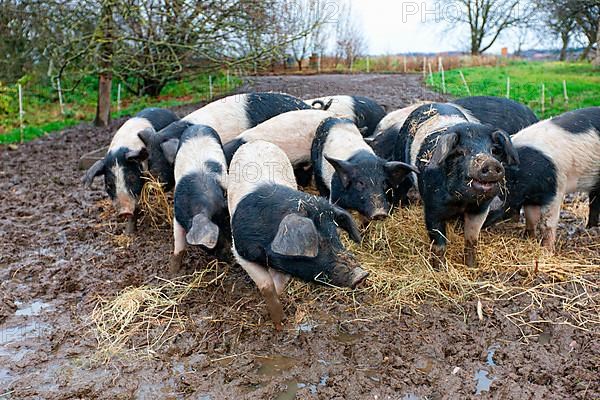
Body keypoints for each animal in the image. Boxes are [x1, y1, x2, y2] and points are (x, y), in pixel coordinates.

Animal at [161, 125, 231, 276]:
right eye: (218, 233)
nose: (230, 256)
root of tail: (198, 126)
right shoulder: (177, 215)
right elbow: (179, 244)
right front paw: (173, 272)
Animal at [230, 140, 370, 328]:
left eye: (336, 235)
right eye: (317, 241)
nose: (361, 275)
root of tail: (256, 141)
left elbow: (279, 286)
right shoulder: (241, 252)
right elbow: (267, 286)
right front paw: (277, 325)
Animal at [396, 102, 516, 268]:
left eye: (494, 150)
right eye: (460, 152)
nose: (490, 163)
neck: (461, 201)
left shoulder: (480, 209)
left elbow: (471, 240)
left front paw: (472, 267)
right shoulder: (432, 208)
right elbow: (439, 244)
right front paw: (438, 269)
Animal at [486, 108, 600, 252]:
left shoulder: (555, 188)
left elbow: (547, 223)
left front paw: (547, 250)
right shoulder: (531, 196)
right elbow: (531, 218)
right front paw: (527, 238)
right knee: (595, 202)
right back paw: (590, 228)